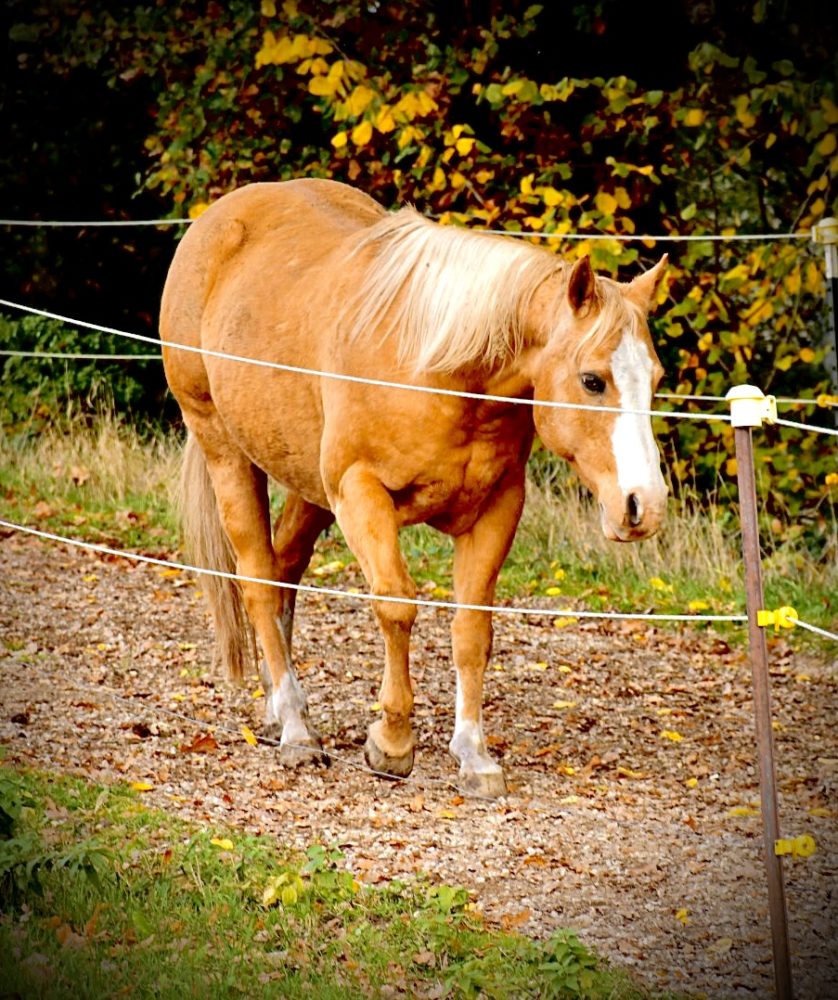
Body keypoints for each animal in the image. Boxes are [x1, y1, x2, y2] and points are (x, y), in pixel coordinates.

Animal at [161, 180, 672, 796]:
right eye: (592, 380)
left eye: (656, 380)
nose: (643, 505)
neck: (441, 370)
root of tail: (219, 219)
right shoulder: (361, 494)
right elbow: (398, 606)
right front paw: (393, 742)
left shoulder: (496, 509)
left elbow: (472, 629)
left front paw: (474, 756)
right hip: (227, 453)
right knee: (258, 579)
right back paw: (296, 730)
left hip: (307, 486)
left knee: (284, 571)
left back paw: (280, 708)